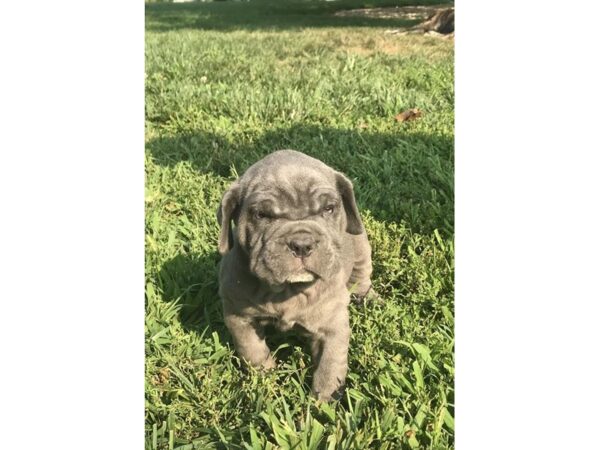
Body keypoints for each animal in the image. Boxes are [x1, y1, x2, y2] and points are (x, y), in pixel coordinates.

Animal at [216, 151, 376, 400]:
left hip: (360, 246)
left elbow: (329, 367)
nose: (302, 244)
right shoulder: (239, 316)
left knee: (362, 275)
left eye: (328, 209)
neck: (288, 290)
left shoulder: (332, 326)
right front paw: (266, 380)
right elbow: (252, 350)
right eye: (261, 215)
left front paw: (323, 402)